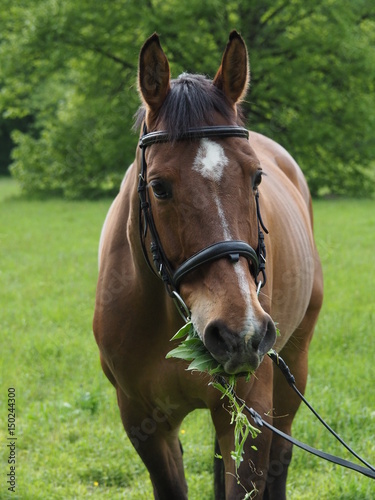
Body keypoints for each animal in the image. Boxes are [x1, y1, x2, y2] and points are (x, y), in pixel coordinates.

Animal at [93, 32, 324, 500]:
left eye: (256, 177)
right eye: (159, 187)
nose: (241, 335)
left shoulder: (252, 415)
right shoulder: (144, 423)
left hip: (294, 368)